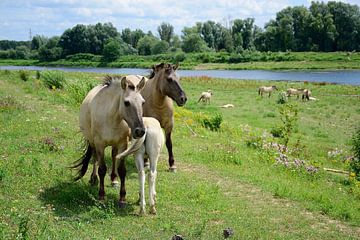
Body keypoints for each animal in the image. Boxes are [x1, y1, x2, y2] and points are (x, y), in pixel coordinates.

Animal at [71, 75, 146, 204]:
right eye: (126, 103)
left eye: (142, 102)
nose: (140, 131)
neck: (111, 118)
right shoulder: (99, 144)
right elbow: (102, 169)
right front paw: (101, 196)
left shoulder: (122, 144)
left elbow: (122, 170)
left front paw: (122, 197)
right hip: (93, 143)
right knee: (95, 158)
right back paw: (93, 179)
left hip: (115, 145)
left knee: (114, 156)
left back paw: (114, 180)